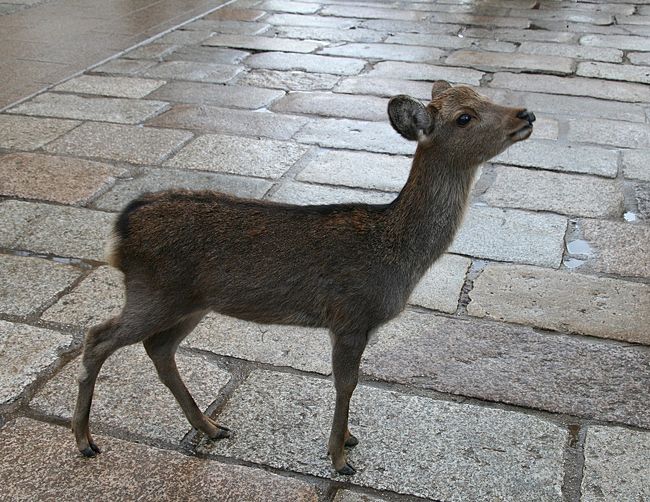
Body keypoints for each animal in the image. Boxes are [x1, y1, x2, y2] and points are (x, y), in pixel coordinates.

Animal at [72, 80, 535, 475]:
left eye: (484, 94)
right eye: (464, 117)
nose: (526, 113)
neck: (398, 255)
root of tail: (120, 230)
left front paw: (347, 439)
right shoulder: (350, 316)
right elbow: (346, 383)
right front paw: (339, 457)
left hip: (190, 303)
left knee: (158, 348)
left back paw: (211, 427)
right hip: (154, 292)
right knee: (97, 337)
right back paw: (84, 440)